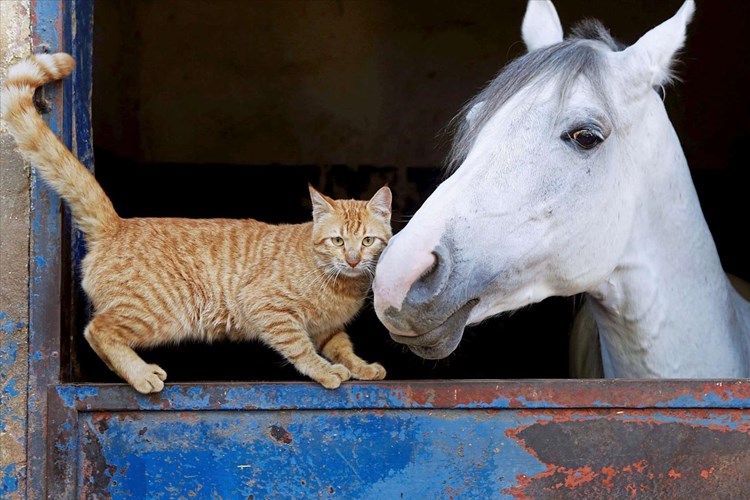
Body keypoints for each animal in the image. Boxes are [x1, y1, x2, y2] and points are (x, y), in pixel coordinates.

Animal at [2, 52, 394, 392]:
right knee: (97, 330)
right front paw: (325, 371)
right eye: (338, 241)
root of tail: (118, 223)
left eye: (368, 241)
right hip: (159, 312)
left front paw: (361, 367)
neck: (342, 285)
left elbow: (343, 347)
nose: (353, 260)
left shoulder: (328, 328)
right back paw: (141, 374)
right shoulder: (267, 307)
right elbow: (300, 348)